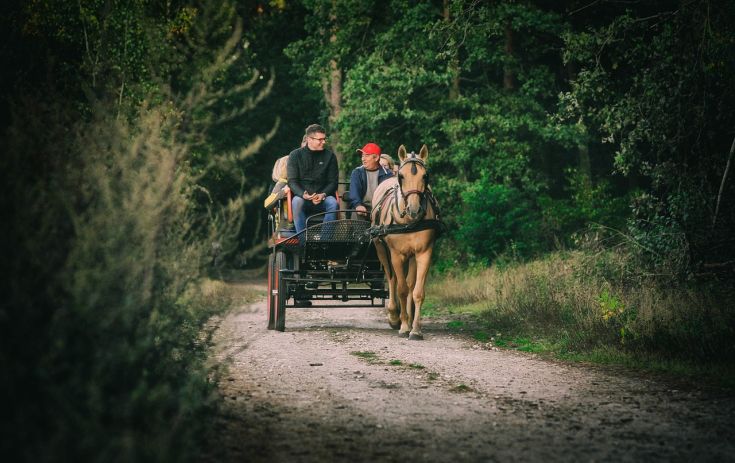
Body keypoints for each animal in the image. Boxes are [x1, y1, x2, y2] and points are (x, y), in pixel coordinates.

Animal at [370, 145, 440, 340]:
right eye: (402, 176)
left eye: (425, 175)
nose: (414, 209)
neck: (409, 220)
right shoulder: (396, 254)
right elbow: (400, 288)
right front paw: (402, 326)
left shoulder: (423, 252)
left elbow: (416, 291)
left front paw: (415, 329)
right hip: (381, 248)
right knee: (392, 279)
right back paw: (395, 316)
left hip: (411, 256)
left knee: (409, 284)